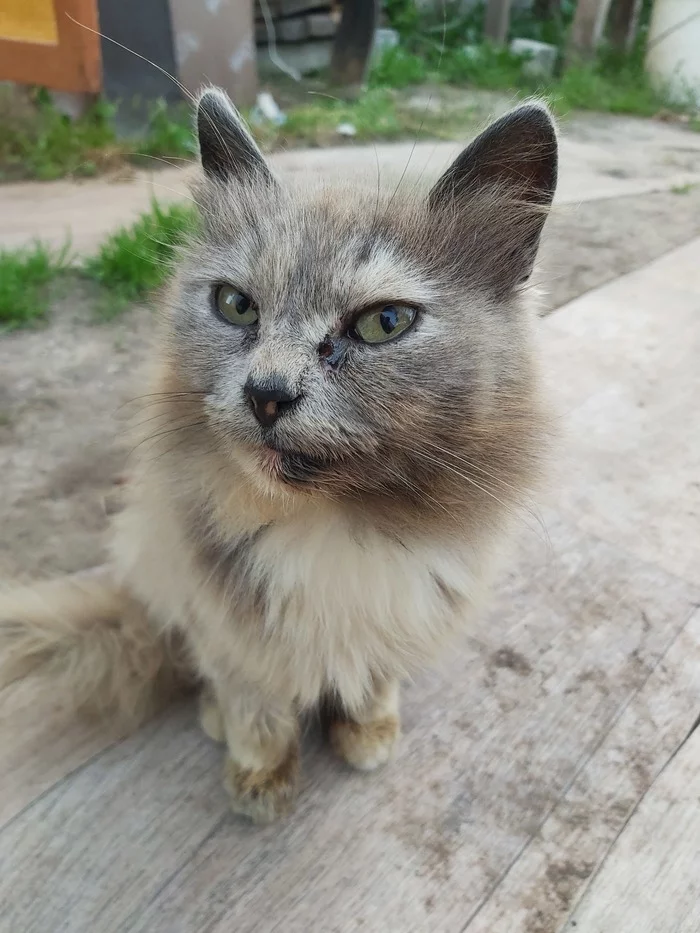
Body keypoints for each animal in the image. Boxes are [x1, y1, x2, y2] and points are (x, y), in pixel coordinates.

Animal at [0, 89, 556, 824]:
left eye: (384, 323)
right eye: (236, 306)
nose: (266, 394)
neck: (336, 526)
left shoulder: (402, 610)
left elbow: (372, 678)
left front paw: (367, 732)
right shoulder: (230, 633)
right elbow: (256, 708)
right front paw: (262, 780)